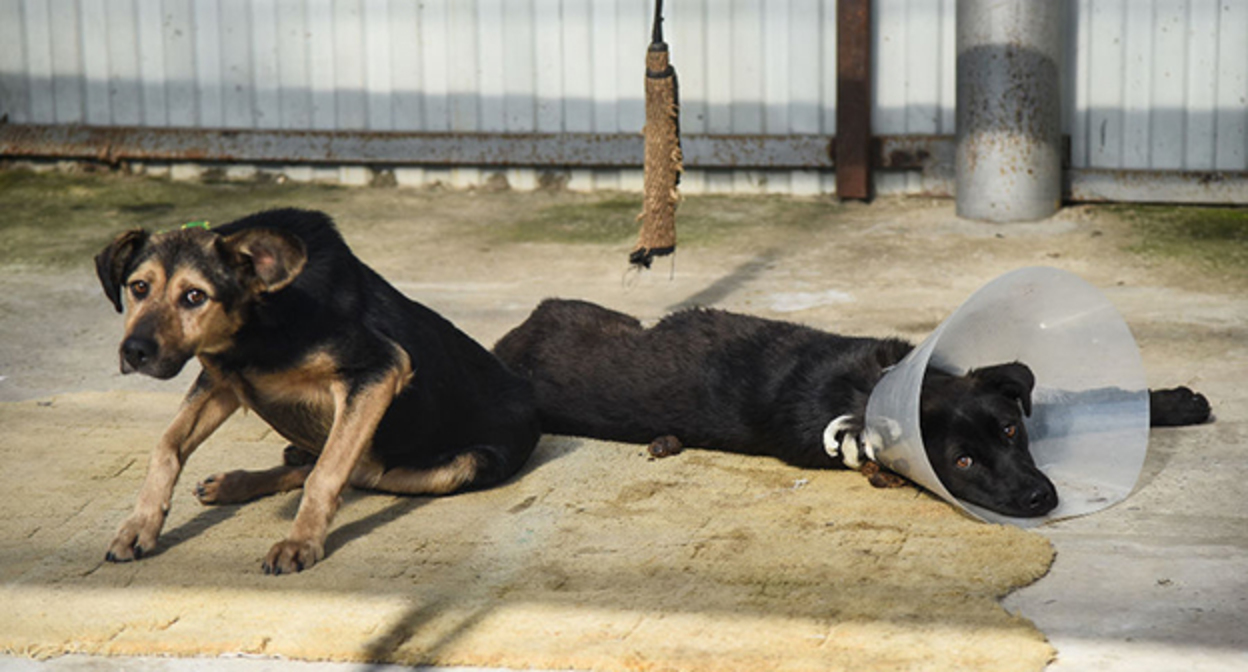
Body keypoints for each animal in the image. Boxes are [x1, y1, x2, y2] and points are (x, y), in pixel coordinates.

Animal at [98, 204, 541, 569]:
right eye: (138, 287)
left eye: (195, 296)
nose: (134, 352)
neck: (261, 322)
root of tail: (529, 392)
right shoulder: (222, 380)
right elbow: (167, 446)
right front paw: (139, 526)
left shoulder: (378, 370)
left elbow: (327, 473)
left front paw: (300, 543)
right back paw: (235, 482)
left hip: (460, 467)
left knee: (360, 471)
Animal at [494, 299, 1208, 517]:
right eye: (963, 461)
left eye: (1011, 429)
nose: (1040, 498)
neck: (873, 391)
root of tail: (511, 341)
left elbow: (1084, 397)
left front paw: (1170, 402)